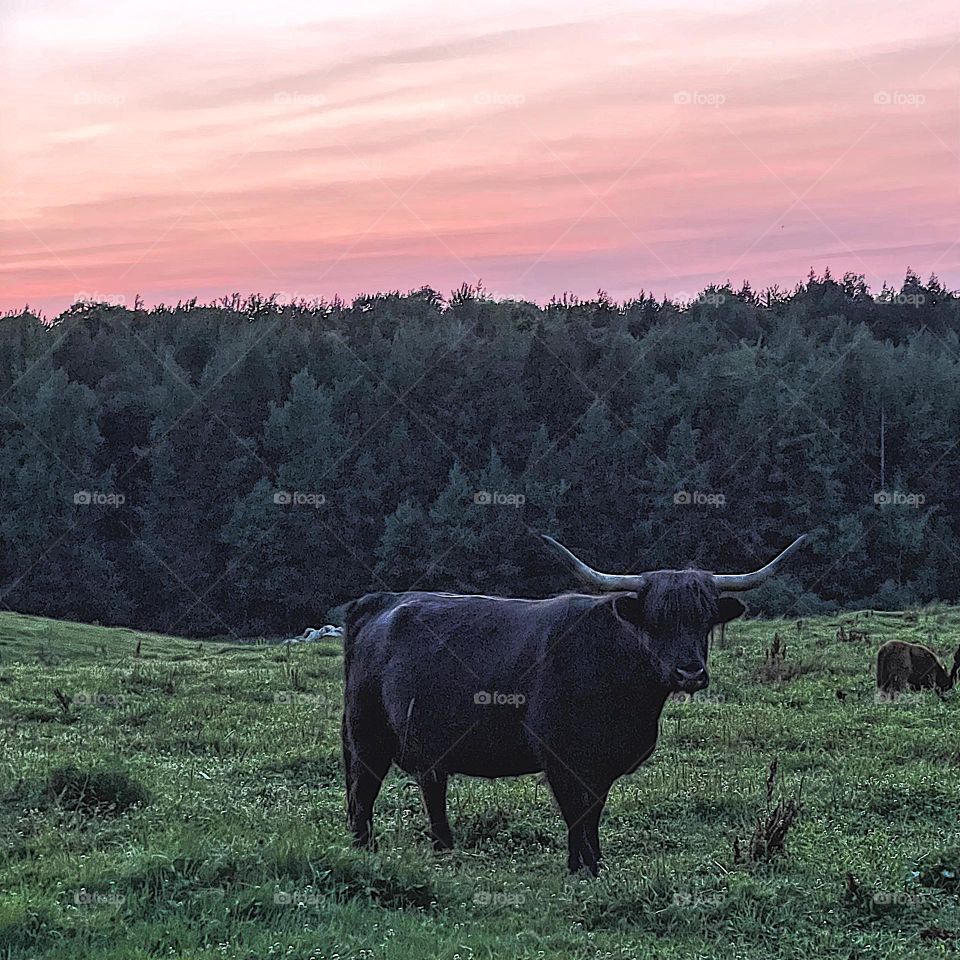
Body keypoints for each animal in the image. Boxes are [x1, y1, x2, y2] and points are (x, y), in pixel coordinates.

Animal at [342, 532, 807, 875]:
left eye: (706, 619)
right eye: (656, 620)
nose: (689, 673)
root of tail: (383, 602)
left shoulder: (603, 765)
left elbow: (593, 813)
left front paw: (593, 863)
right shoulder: (559, 756)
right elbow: (576, 814)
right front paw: (582, 867)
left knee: (431, 787)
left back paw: (445, 849)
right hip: (367, 734)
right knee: (362, 793)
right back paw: (365, 849)